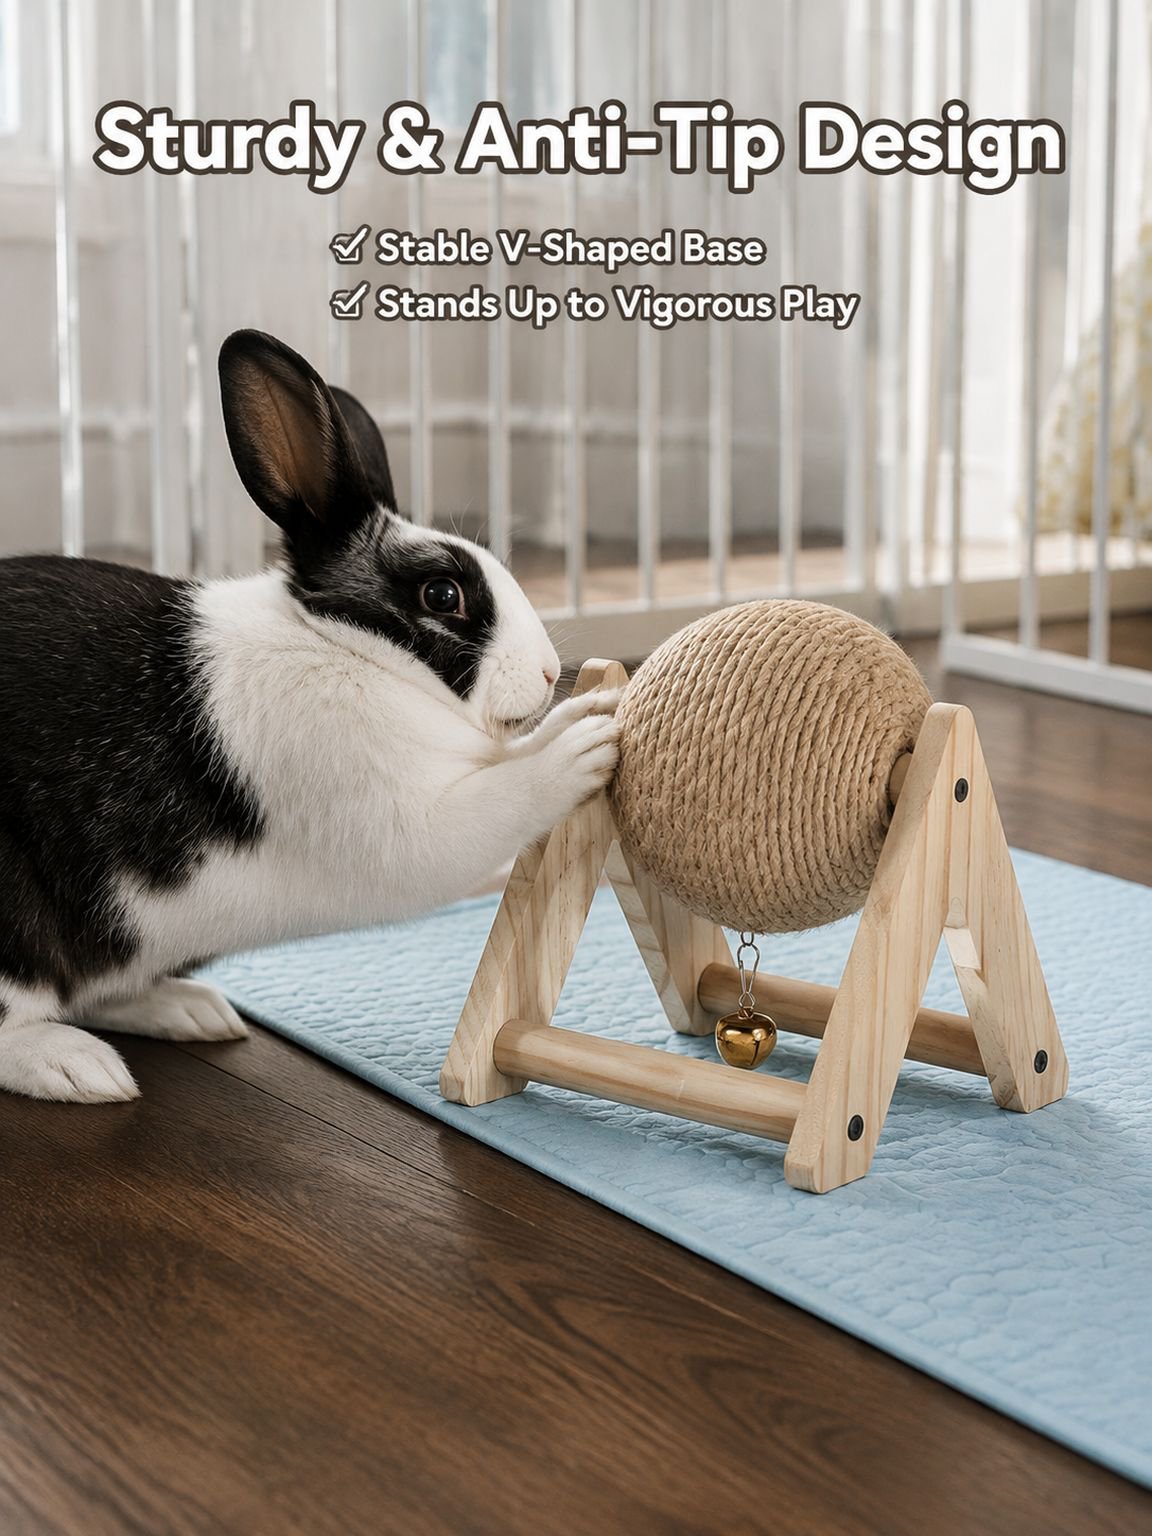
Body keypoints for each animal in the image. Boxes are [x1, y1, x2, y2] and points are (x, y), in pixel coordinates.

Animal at [0, 329, 620, 1103]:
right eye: (442, 594)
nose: (544, 672)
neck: (346, 646)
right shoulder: (405, 819)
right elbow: (501, 800)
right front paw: (585, 736)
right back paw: (79, 1068)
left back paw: (189, 1010)